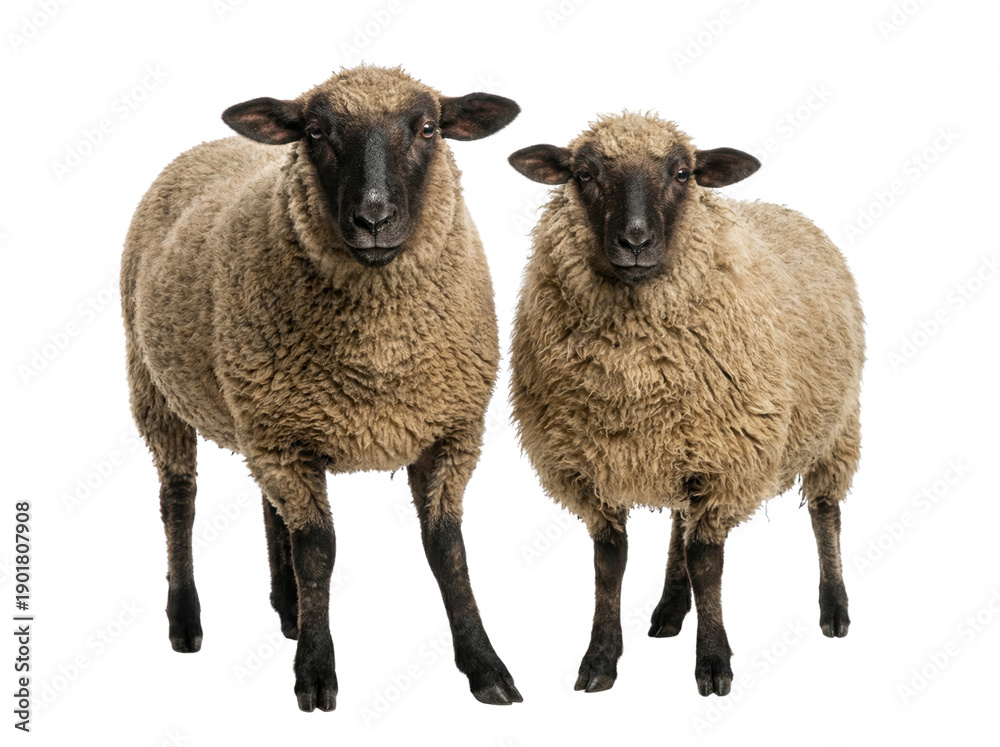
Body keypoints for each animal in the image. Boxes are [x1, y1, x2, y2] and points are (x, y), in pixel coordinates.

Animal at [120, 65, 523, 711]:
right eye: (314, 131)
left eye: (428, 128)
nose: (374, 218)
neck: (378, 354)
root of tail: (209, 145)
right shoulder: (287, 440)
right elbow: (319, 551)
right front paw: (314, 671)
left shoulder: (447, 432)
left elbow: (447, 549)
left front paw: (485, 667)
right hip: (156, 387)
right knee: (178, 501)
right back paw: (186, 620)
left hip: (259, 412)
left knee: (268, 506)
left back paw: (287, 609)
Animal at [507, 112, 864, 697]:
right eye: (584, 173)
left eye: (682, 173)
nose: (635, 239)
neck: (634, 373)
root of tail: (785, 209)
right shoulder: (590, 463)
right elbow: (611, 561)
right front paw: (600, 659)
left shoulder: (727, 459)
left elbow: (707, 561)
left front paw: (714, 662)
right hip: (680, 440)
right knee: (679, 521)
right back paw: (671, 609)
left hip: (836, 423)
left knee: (825, 511)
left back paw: (834, 609)